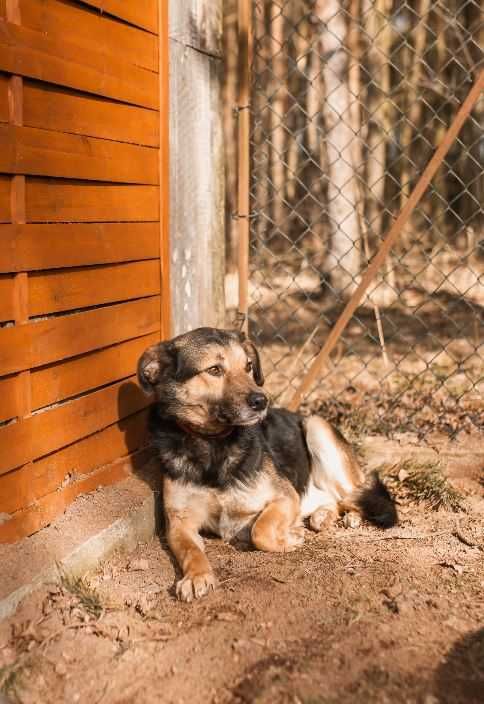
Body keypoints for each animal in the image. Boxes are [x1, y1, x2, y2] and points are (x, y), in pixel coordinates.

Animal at [137, 328, 398, 604]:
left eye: (248, 366)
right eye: (215, 370)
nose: (262, 401)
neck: (213, 445)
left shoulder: (286, 496)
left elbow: (260, 530)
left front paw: (290, 538)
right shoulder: (179, 523)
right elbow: (190, 551)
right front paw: (197, 576)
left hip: (316, 426)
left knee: (352, 494)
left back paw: (351, 517)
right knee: (333, 500)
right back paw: (322, 516)